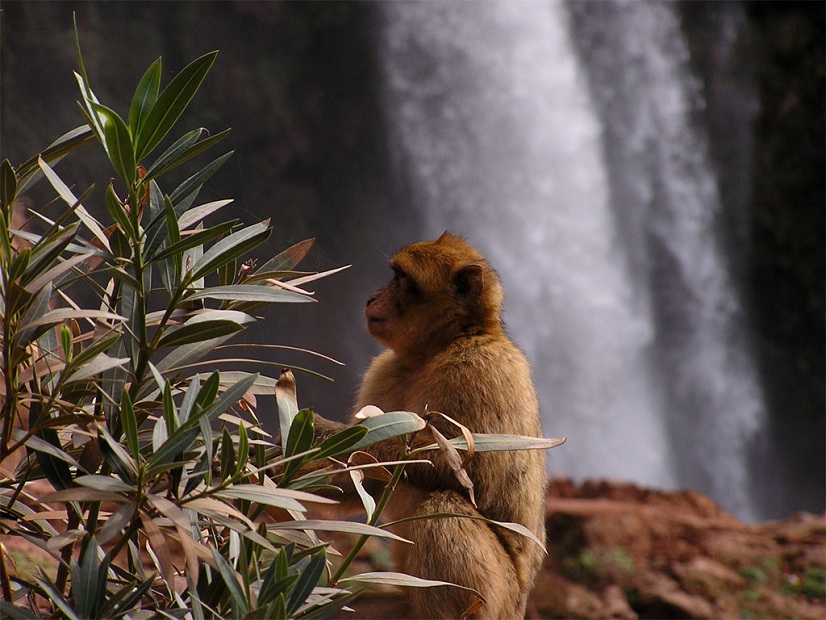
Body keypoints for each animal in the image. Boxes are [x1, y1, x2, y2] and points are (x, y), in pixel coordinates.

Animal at [308, 234, 540, 620]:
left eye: (400, 279)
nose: (371, 297)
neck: (439, 348)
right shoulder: (385, 371)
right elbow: (364, 482)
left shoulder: (478, 367)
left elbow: (467, 471)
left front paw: (323, 436)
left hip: (499, 600)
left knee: (442, 506)